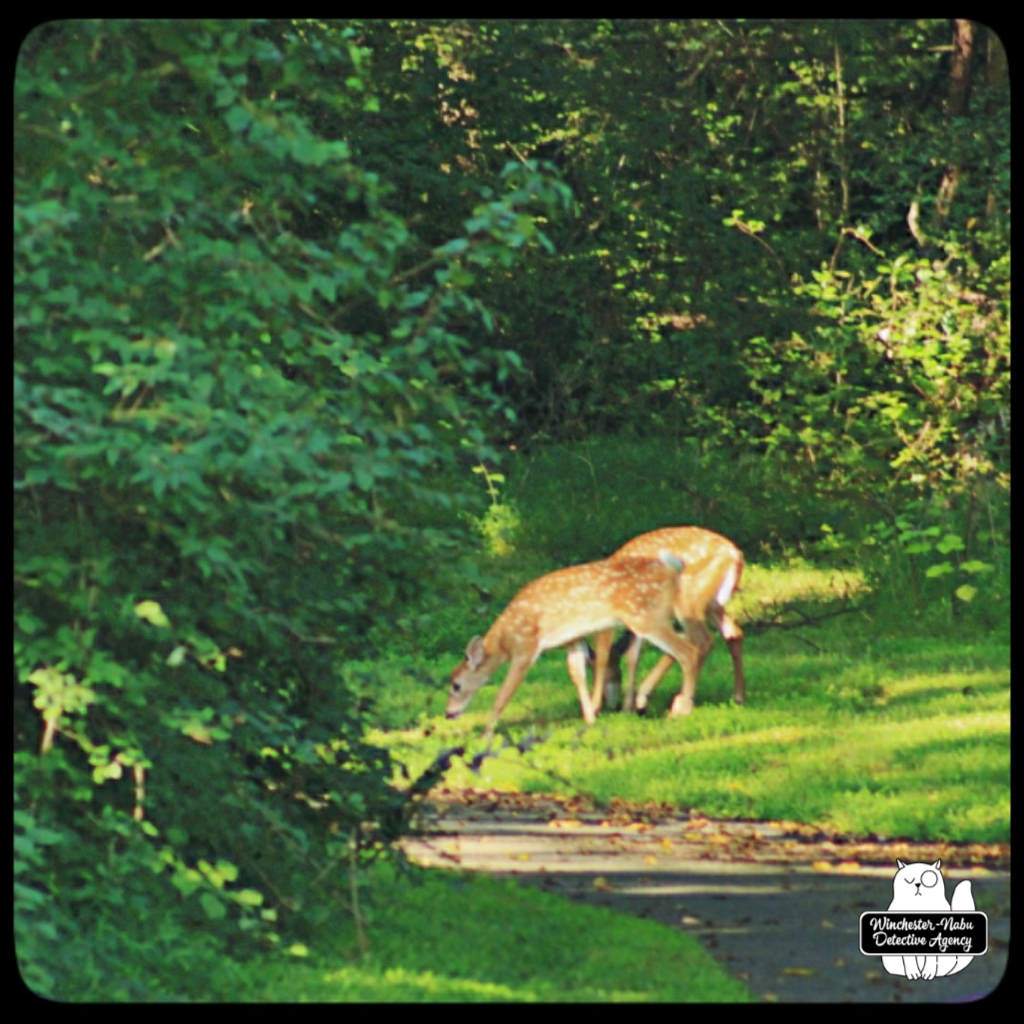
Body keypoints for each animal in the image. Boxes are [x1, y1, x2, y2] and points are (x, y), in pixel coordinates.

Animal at [446, 552, 700, 743]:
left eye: (456, 685)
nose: (448, 714)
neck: (505, 639)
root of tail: (674, 568)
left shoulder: (525, 648)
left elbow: (503, 694)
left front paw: (485, 734)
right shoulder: (573, 640)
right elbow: (577, 676)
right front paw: (590, 719)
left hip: (645, 617)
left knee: (688, 651)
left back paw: (682, 708)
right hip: (654, 618)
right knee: (689, 641)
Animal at [573, 527, 746, 718]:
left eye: (593, 671)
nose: (613, 705)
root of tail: (734, 555)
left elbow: (604, 654)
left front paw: (595, 707)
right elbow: (633, 656)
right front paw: (628, 708)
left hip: (687, 597)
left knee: (701, 642)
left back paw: (676, 706)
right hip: (710, 604)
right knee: (733, 633)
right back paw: (738, 697)